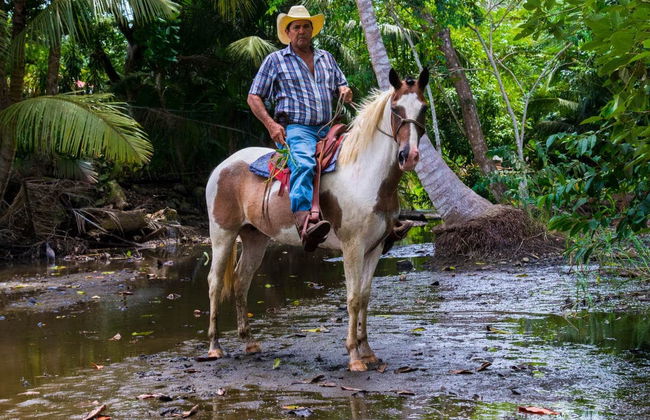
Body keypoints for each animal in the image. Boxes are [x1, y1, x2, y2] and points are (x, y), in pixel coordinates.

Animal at [205, 68, 429, 371]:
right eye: (395, 109)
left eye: (423, 108)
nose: (410, 156)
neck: (365, 173)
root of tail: (222, 166)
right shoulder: (352, 246)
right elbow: (353, 299)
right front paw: (354, 357)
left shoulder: (376, 247)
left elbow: (365, 298)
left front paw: (368, 351)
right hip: (222, 234)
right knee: (215, 282)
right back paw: (215, 346)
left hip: (255, 237)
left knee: (241, 281)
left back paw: (249, 342)